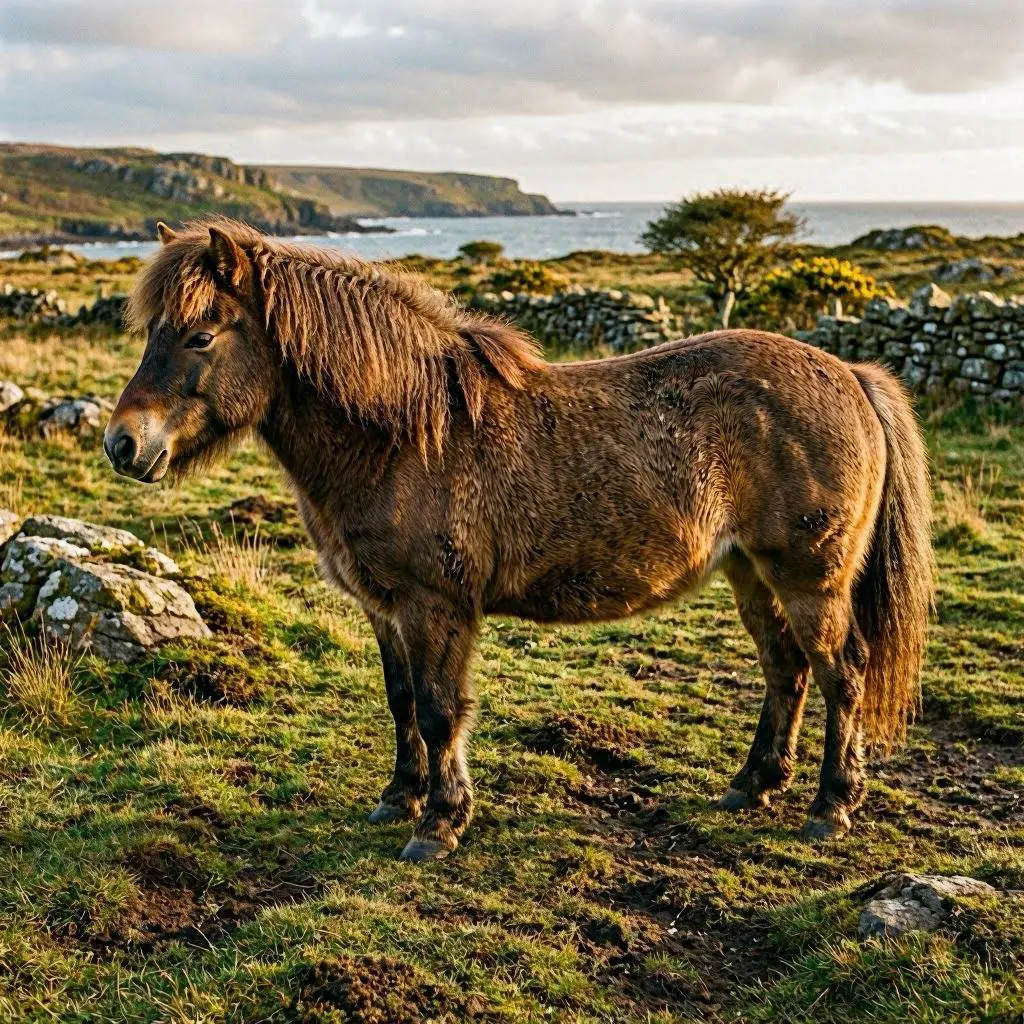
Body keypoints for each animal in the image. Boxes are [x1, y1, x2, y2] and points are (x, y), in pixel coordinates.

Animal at [104, 217, 933, 861]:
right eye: (149, 333)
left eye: (200, 334)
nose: (122, 444)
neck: (404, 434)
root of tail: (851, 375)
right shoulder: (384, 607)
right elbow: (400, 700)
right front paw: (399, 798)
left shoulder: (436, 608)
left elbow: (440, 710)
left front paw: (440, 824)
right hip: (750, 572)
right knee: (786, 671)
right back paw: (752, 787)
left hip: (809, 578)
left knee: (842, 674)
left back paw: (830, 808)